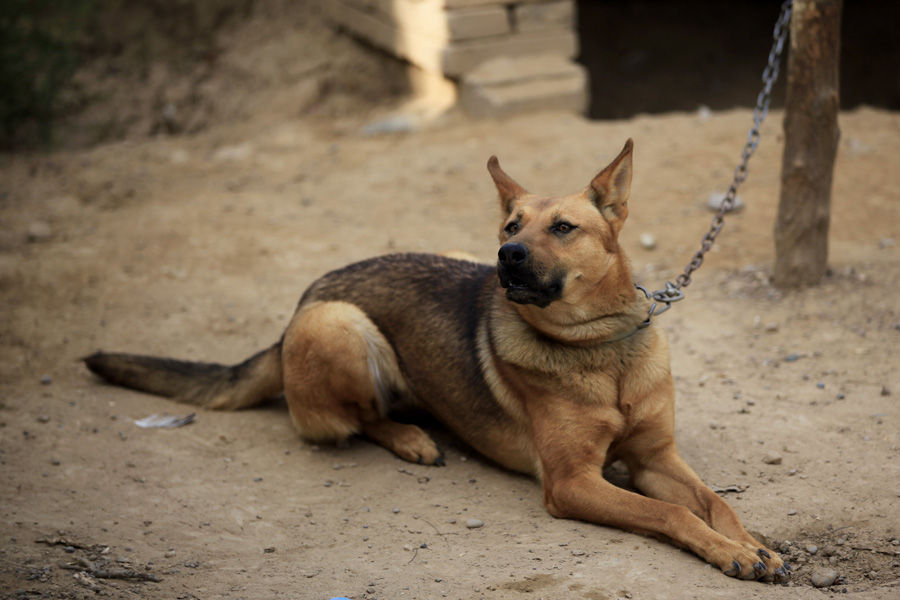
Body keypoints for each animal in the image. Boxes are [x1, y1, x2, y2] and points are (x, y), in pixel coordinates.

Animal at [84, 141, 788, 580]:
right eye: (511, 226)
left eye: (562, 228)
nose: (506, 257)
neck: (600, 348)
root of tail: (303, 301)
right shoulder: (573, 483)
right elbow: (671, 512)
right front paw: (731, 552)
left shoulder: (655, 459)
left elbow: (714, 503)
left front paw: (751, 544)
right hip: (339, 325)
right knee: (354, 418)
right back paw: (411, 437)